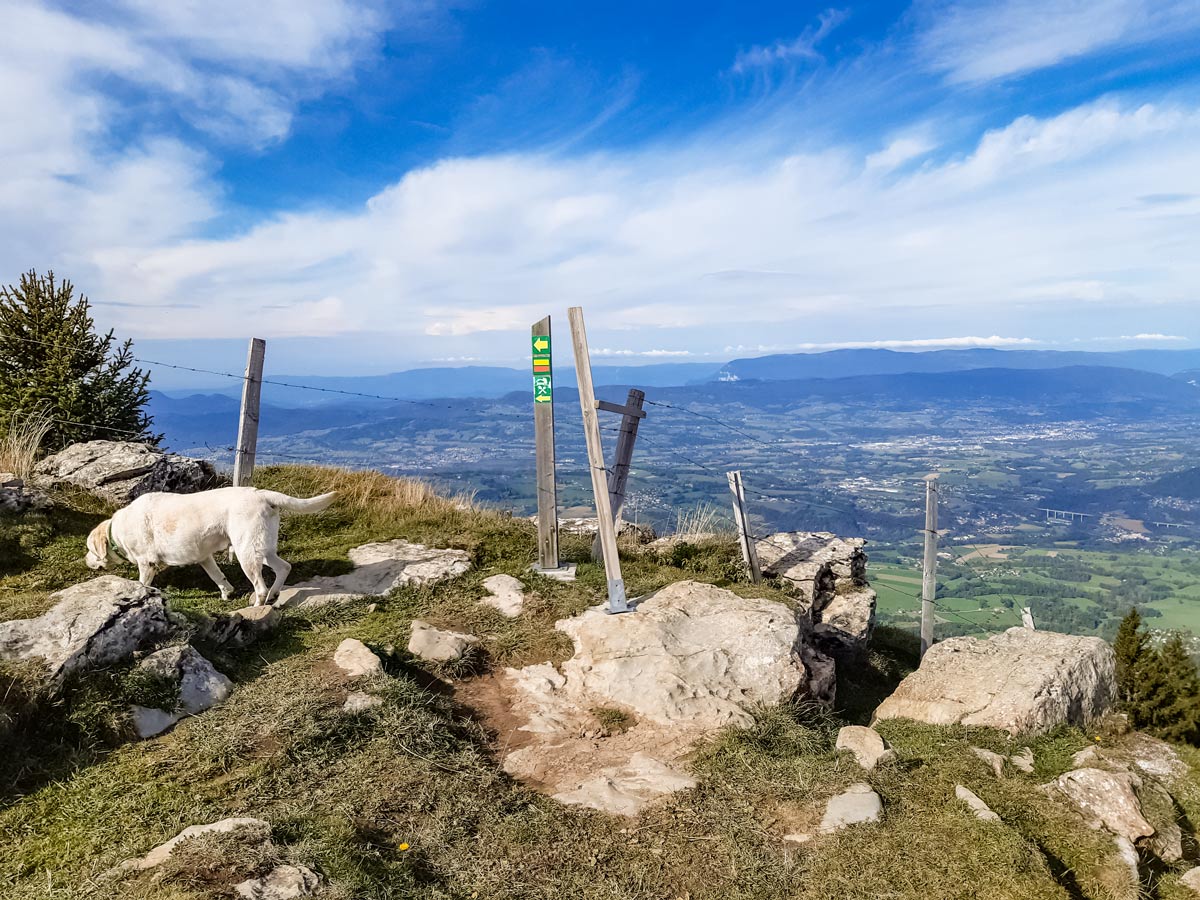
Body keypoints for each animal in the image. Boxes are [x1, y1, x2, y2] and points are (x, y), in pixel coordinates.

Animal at [87, 487, 336, 607]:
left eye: (90, 549)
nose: (86, 560)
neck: (117, 532)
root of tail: (261, 493)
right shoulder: (204, 557)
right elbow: (219, 577)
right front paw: (227, 593)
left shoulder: (147, 563)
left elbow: (142, 584)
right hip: (262, 549)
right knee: (284, 567)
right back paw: (275, 595)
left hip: (246, 552)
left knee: (260, 587)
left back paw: (257, 606)